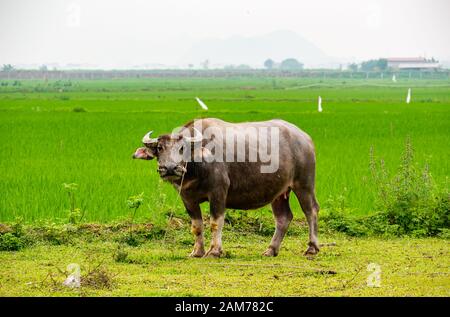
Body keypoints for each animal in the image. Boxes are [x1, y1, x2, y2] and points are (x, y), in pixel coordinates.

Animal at [132, 117, 318, 256]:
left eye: (182, 148)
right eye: (159, 148)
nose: (170, 168)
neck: (196, 167)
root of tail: (304, 137)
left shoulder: (218, 192)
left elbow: (215, 222)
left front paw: (215, 251)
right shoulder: (187, 198)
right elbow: (196, 225)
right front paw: (197, 252)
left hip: (304, 184)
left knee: (311, 211)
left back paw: (311, 248)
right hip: (279, 192)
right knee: (283, 218)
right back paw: (271, 250)